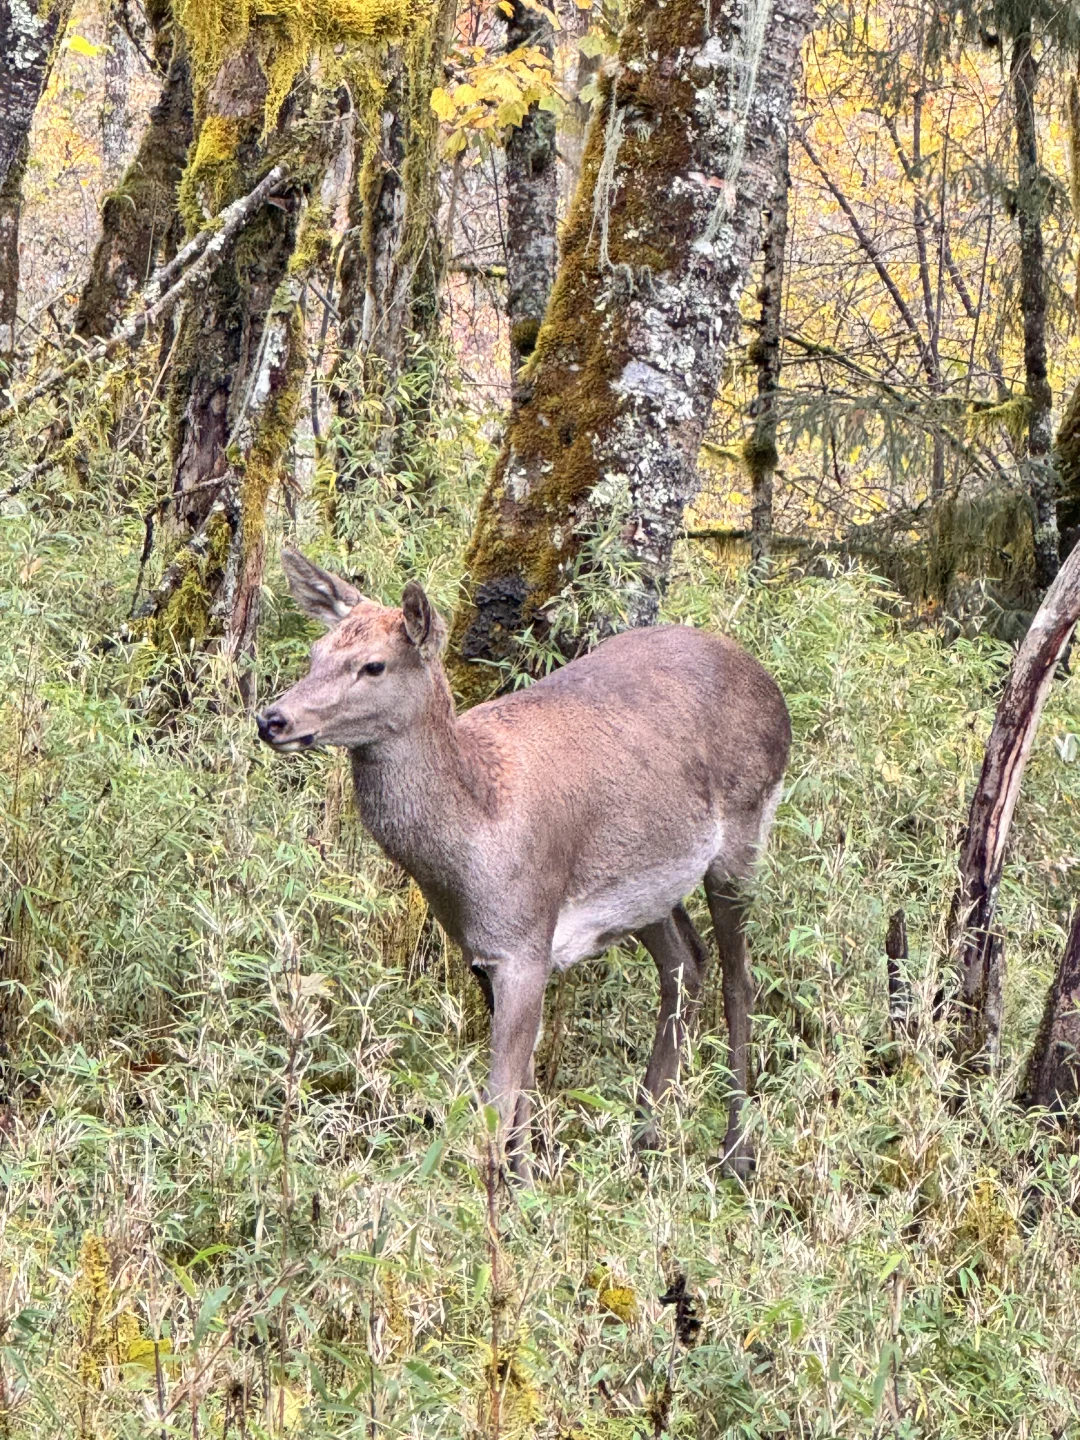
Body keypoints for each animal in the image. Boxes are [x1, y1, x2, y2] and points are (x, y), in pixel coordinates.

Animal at [257, 550, 791, 1181]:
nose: (273, 719)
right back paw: (643, 1140)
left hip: (744, 836)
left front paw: (506, 1194)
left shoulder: (525, 940)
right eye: (317, 652)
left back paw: (737, 1153)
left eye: (373, 665)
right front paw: (525, 1180)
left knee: (740, 979)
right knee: (687, 962)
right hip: (647, 886)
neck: (472, 838)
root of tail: (770, 686)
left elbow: (497, 1097)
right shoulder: (488, 951)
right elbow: (520, 1094)